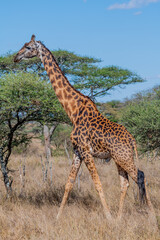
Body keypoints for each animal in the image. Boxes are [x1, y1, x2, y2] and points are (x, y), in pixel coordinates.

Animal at [14, 35, 155, 221]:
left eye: (29, 47)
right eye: (23, 45)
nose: (15, 57)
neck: (73, 110)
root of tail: (132, 140)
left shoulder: (86, 151)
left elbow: (97, 183)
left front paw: (108, 218)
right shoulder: (77, 151)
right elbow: (69, 183)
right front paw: (57, 217)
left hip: (123, 157)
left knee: (140, 175)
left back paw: (151, 216)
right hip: (118, 158)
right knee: (125, 182)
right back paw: (120, 217)